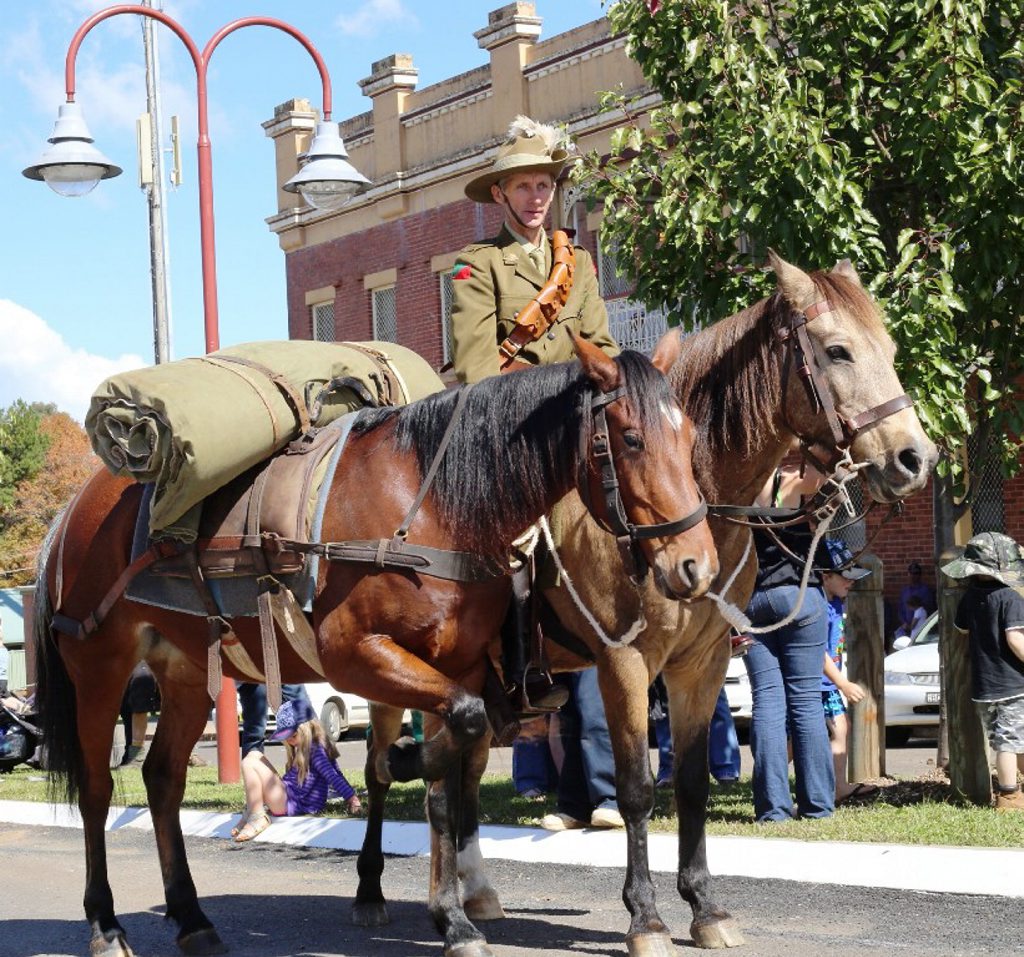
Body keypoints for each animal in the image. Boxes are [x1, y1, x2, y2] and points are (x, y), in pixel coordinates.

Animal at [34, 335, 720, 957]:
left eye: (691, 438)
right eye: (630, 439)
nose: (697, 565)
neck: (434, 504)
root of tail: (71, 512)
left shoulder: (457, 666)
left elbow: (451, 777)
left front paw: (454, 914)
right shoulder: (358, 655)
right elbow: (456, 745)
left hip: (181, 676)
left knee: (162, 779)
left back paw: (192, 918)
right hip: (100, 670)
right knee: (97, 791)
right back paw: (106, 926)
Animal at [397, 252, 937, 957]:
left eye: (892, 350)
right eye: (838, 350)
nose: (915, 457)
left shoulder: (700, 665)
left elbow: (691, 783)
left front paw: (705, 906)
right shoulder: (625, 664)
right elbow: (634, 790)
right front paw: (646, 918)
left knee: (462, 777)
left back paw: (477, 896)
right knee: (431, 784)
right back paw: (438, 912)